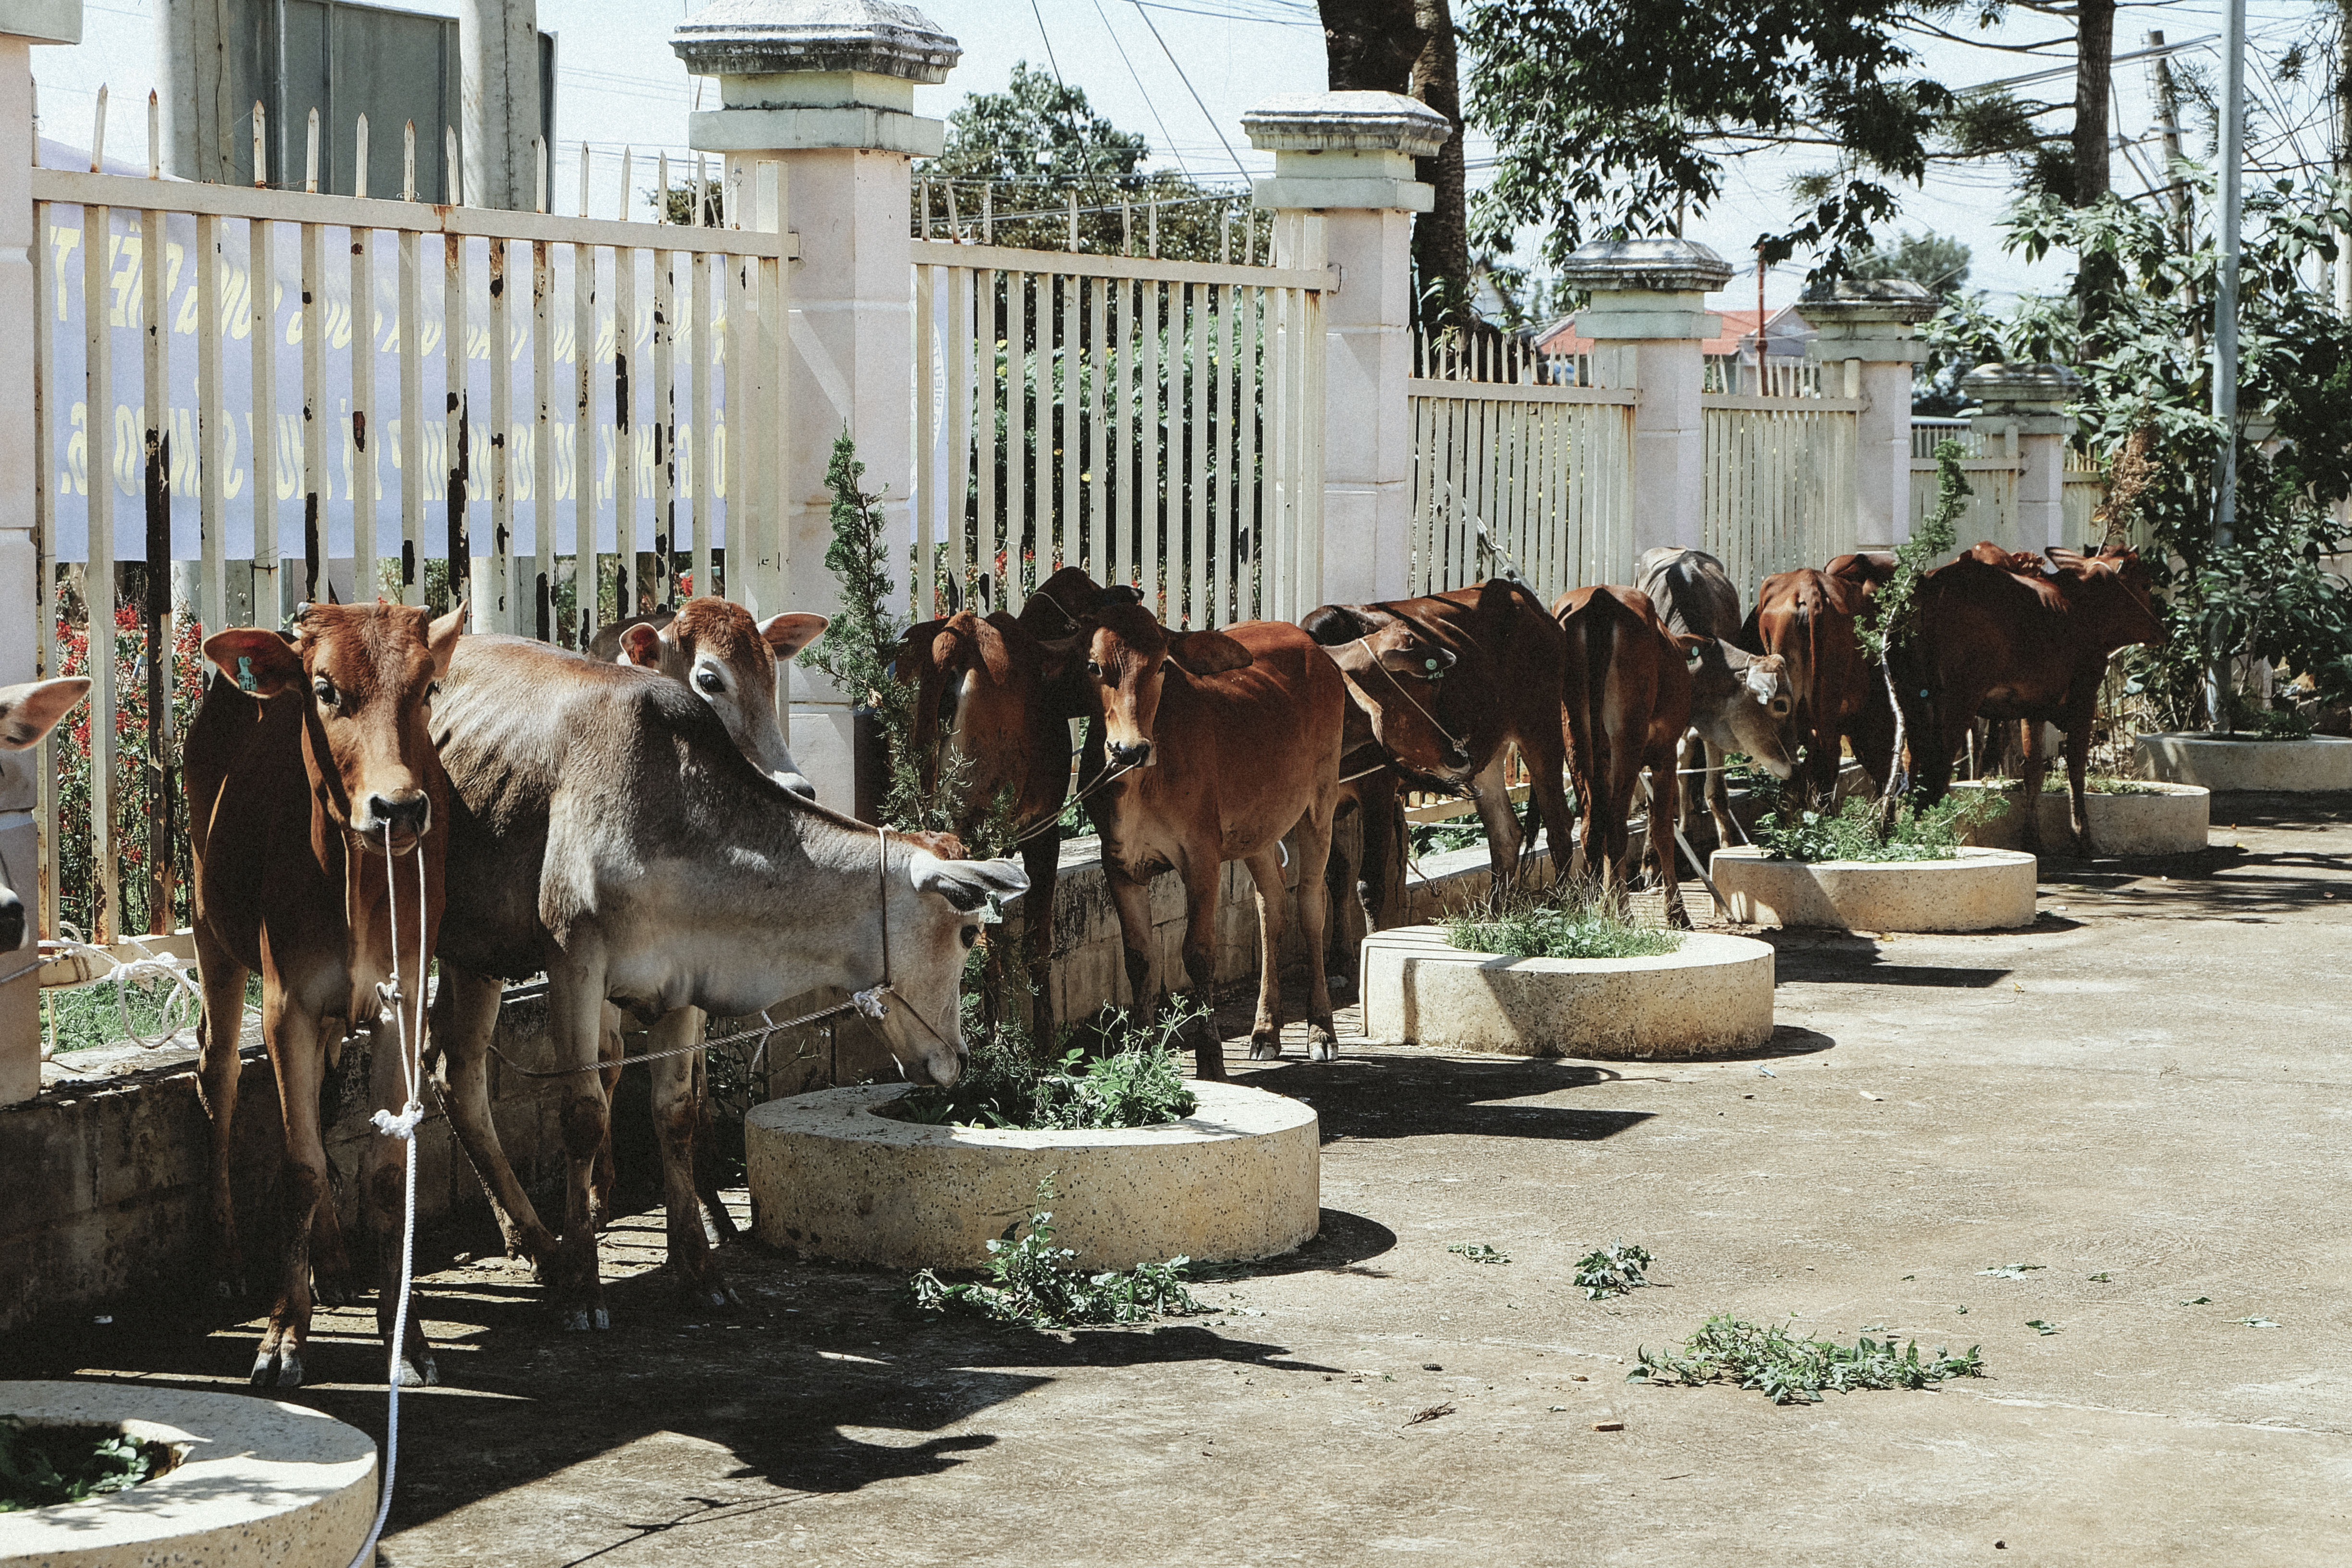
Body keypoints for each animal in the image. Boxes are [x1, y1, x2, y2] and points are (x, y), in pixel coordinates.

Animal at [185, 597, 466, 1382]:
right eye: (325, 689)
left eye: (427, 688)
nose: (398, 809)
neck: (359, 882)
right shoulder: (288, 1005)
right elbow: (301, 1167)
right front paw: (284, 1334)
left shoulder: (403, 1001)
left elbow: (386, 1170)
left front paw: (406, 1337)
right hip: (211, 931)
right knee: (217, 1074)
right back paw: (225, 1258)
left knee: (315, 1097)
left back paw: (335, 1261)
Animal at [1067, 606, 1345, 1081]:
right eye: (1093, 666)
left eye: (1162, 665)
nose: (1129, 750)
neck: (1142, 785)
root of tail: (1313, 646)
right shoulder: (1118, 863)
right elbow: (1138, 958)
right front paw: (1140, 1052)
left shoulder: (1201, 857)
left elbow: (1197, 954)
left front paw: (1211, 1056)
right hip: (1257, 827)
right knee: (1272, 904)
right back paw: (1265, 1032)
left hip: (1320, 802)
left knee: (1311, 906)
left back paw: (1320, 1030)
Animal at [1900, 543, 2154, 860]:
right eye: (2145, 584)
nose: (2162, 630)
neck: (2081, 607)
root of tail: (1932, 584)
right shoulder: (2084, 698)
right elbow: (2076, 770)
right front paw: (2083, 837)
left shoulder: (2034, 709)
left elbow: (2033, 773)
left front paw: (2032, 839)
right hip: (1958, 701)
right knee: (1939, 766)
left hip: (1915, 700)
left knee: (1910, 760)